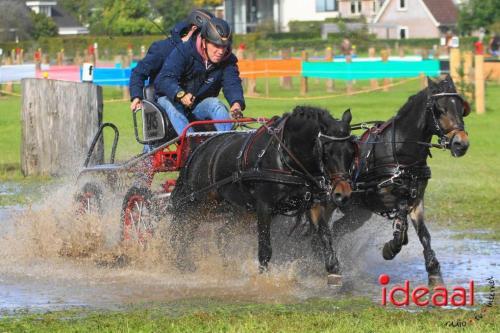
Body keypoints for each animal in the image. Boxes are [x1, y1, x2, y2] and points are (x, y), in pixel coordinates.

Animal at [170, 105, 358, 280]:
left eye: (351, 152)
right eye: (327, 152)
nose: (343, 194)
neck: (286, 158)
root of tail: (197, 151)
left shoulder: (312, 204)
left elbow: (325, 237)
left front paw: (334, 271)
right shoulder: (264, 207)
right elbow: (265, 249)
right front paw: (264, 279)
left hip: (240, 212)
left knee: (221, 235)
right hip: (198, 205)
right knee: (183, 233)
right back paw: (181, 263)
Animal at [302, 75, 470, 286]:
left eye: (461, 108)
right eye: (439, 109)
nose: (461, 144)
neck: (399, 150)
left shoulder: (417, 200)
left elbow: (424, 234)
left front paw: (433, 272)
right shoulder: (383, 196)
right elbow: (401, 220)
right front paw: (391, 247)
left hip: (358, 212)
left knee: (336, 229)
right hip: (325, 201)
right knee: (320, 228)